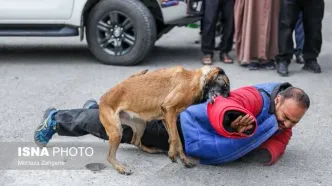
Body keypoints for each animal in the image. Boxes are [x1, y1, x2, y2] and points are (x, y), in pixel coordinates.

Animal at [97, 65, 230, 174]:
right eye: (225, 86)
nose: (228, 99)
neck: (199, 79)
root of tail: (103, 98)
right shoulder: (169, 109)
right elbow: (175, 138)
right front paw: (172, 155)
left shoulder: (168, 118)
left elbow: (176, 140)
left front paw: (184, 160)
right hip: (117, 131)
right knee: (110, 156)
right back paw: (121, 168)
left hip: (141, 124)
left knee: (135, 141)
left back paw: (151, 150)